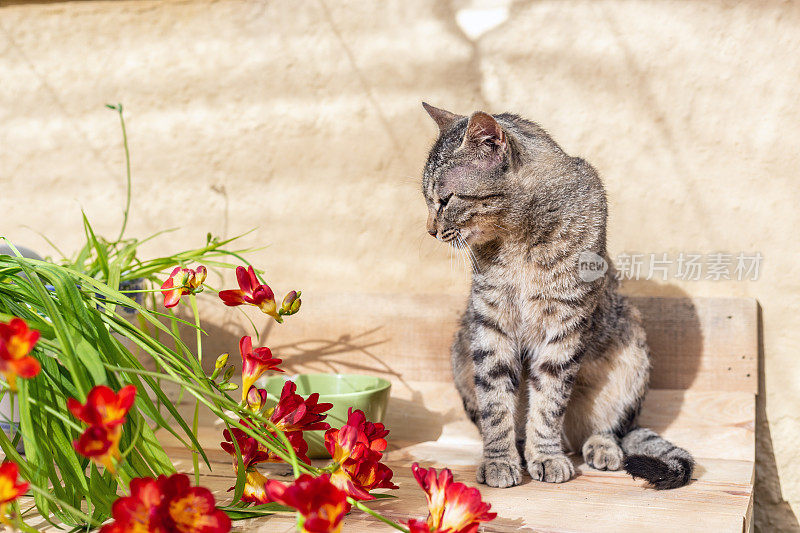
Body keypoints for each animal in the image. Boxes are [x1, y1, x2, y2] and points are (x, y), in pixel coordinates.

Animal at [422, 102, 692, 488]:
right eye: (427, 201)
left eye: (445, 200)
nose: (430, 230)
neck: (516, 241)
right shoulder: (489, 323)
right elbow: (495, 403)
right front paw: (500, 461)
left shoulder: (565, 323)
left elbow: (549, 401)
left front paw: (546, 456)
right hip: (460, 350)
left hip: (633, 347)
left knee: (610, 428)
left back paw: (601, 447)